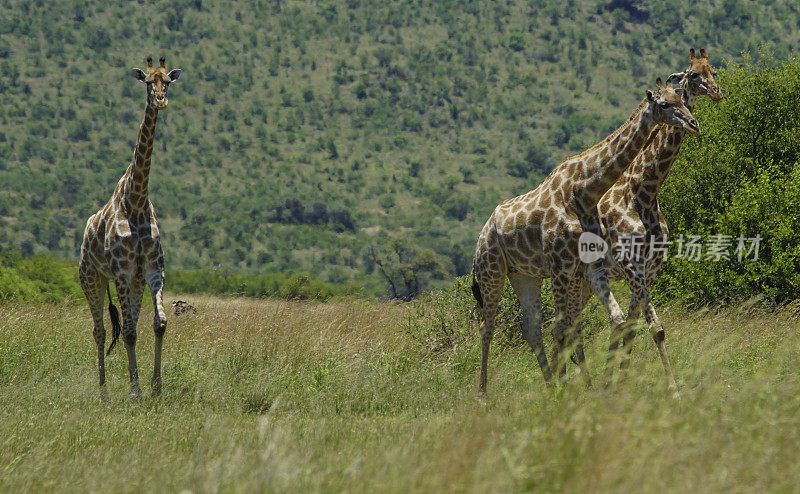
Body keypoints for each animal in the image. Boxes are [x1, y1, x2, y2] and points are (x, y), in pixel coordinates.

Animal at [78, 56, 183, 400]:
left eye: (168, 81)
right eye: (148, 83)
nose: (161, 100)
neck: (136, 200)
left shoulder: (151, 268)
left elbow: (158, 324)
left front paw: (155, 386)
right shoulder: (122, 270)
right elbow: (129, 333)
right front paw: (136, 391)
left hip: (132, 282)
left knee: (127, 323)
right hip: (91, 278)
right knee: (99, 330)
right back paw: (103, 390)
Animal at [472, 81, 696, 398]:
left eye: (682, 100)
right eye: (665, 104)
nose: (693, 123)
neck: (585, 191)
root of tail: (482, 231)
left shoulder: (593, 264)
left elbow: (615, 321)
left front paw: (581, 385)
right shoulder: (562, 263)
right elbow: (562, 328)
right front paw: (569, 388)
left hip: (524, 275)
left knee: (531, 328)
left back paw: (550, 383)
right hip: (491, 270)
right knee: (488, 326)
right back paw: (484, 395)